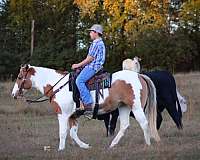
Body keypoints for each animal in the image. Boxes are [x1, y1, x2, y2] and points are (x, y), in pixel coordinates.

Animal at [11, 63, 160, 150]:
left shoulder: (62, 114)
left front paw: (60, 150)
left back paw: (147, 145)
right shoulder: (73, 116)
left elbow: (63, 132)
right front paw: (85, 146)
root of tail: (139, 75)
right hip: (124, 107)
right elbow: (73, 133)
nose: (13, 94)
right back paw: (112, 145)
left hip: (136, 107)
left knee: (144, 123)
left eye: (19, 77)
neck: (57, 85)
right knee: (124, 125)